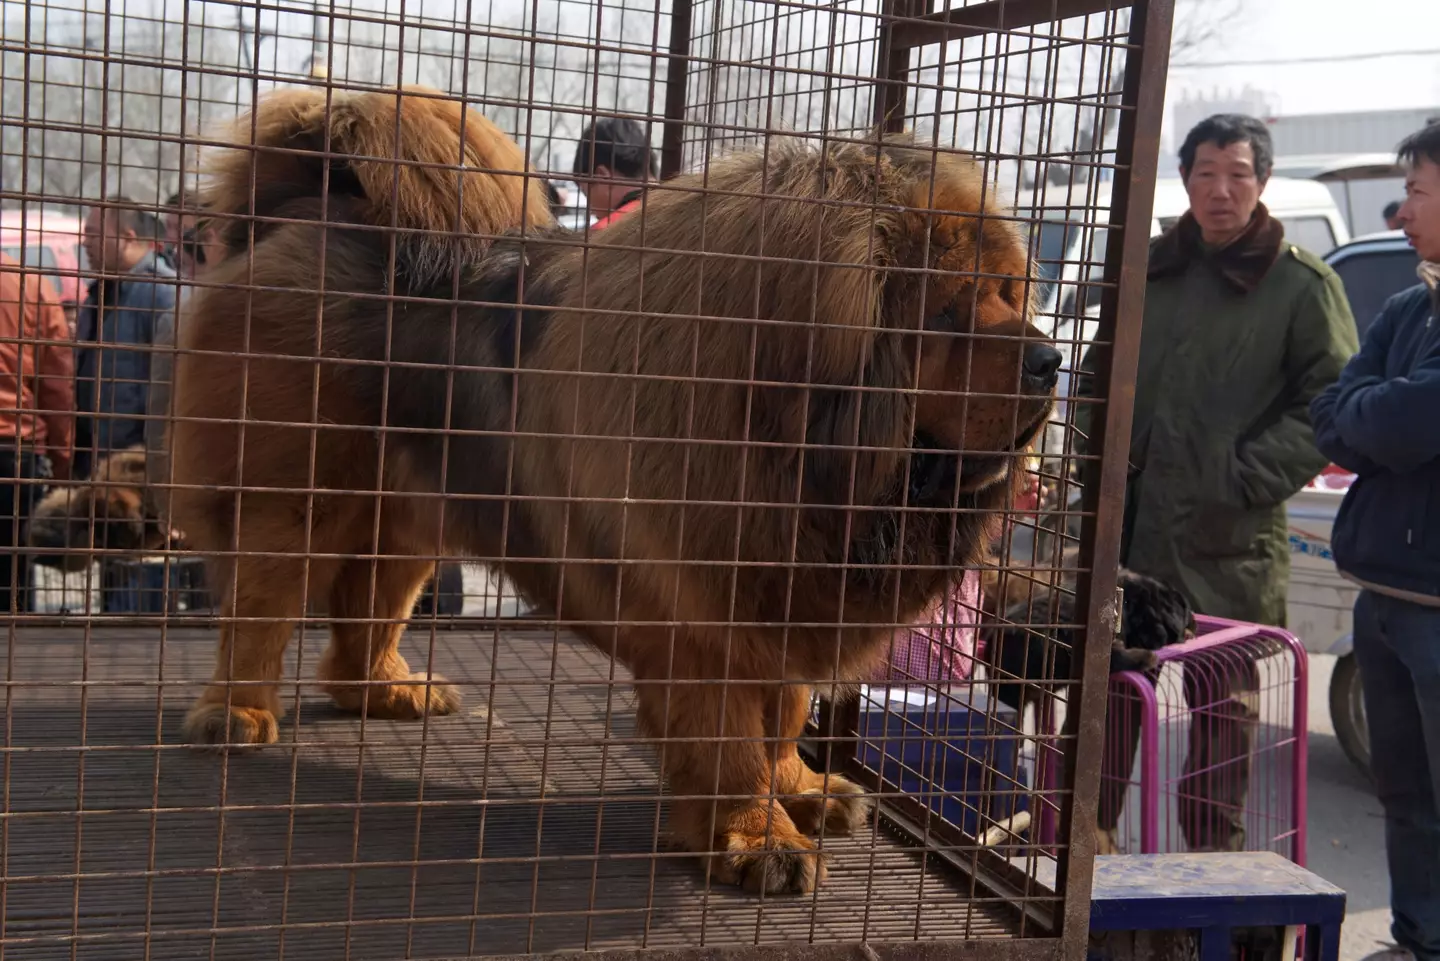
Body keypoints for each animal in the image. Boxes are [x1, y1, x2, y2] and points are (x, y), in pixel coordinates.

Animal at [168, 86, 1065, 899]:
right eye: (945, 312)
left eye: (1007, 293)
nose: (1051, 359)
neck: (794, 437)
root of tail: (309, 209)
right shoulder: (707, 613)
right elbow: (730, 737)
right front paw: (756, 835)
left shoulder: (783, 593)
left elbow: (784, 710)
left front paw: (800, 789)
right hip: (293, 498)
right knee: (259, 612)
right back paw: (236, 714)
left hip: (412, 519)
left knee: (368, 612)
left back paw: (390, 688)